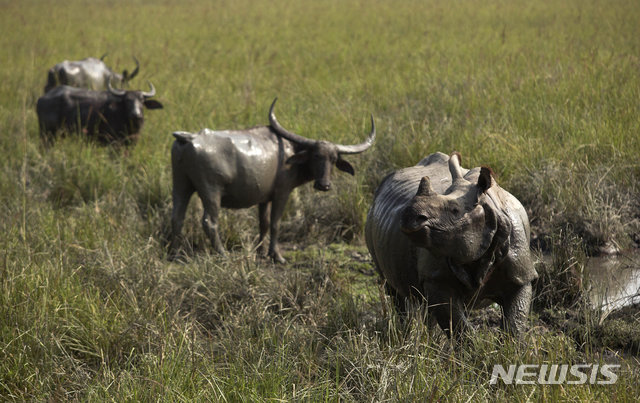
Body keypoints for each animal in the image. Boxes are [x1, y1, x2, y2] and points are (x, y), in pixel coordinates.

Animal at [172, 98, 378, 262]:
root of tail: (191, 138)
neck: (290, 153)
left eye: (334, 159)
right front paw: (277, 256)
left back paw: (174, 253)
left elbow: (263, 223)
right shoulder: (282, 193)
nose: (324, 185)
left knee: (177, 216)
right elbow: (275, 223)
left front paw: (261, 252)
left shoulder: (264, 198)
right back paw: (222, 254)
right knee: (210, 222)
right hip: (211, 192)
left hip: (181, 185)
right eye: (316, 155)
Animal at [362, 152, 536, 338]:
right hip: (373, 218)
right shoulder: (436, 277)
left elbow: (514, 323)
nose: (409, 215)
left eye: (454, 210)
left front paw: (510, 345)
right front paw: (473, 345)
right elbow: (458, 327)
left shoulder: (521, 275)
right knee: (396, 291)